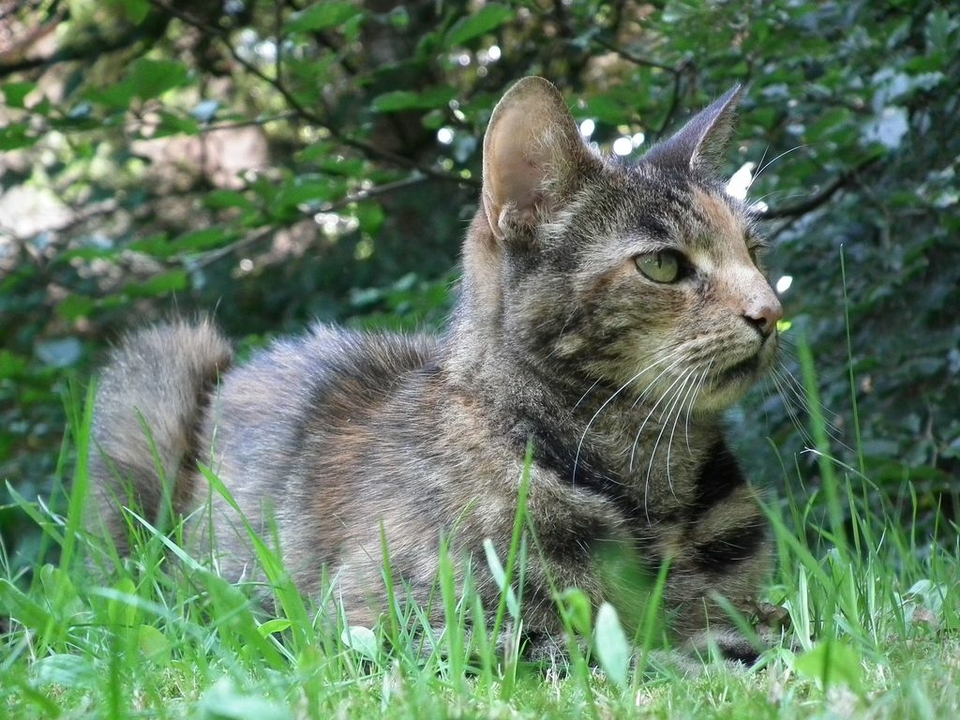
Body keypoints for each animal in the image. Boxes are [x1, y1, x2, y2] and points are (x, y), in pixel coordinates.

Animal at [86, 77, 784, 664]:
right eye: (662, 265)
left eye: (754, 251)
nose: (772, 311)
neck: (651, 492)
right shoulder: (396, 623)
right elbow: (618, 654)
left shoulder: (742, 597)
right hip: (166, 361)